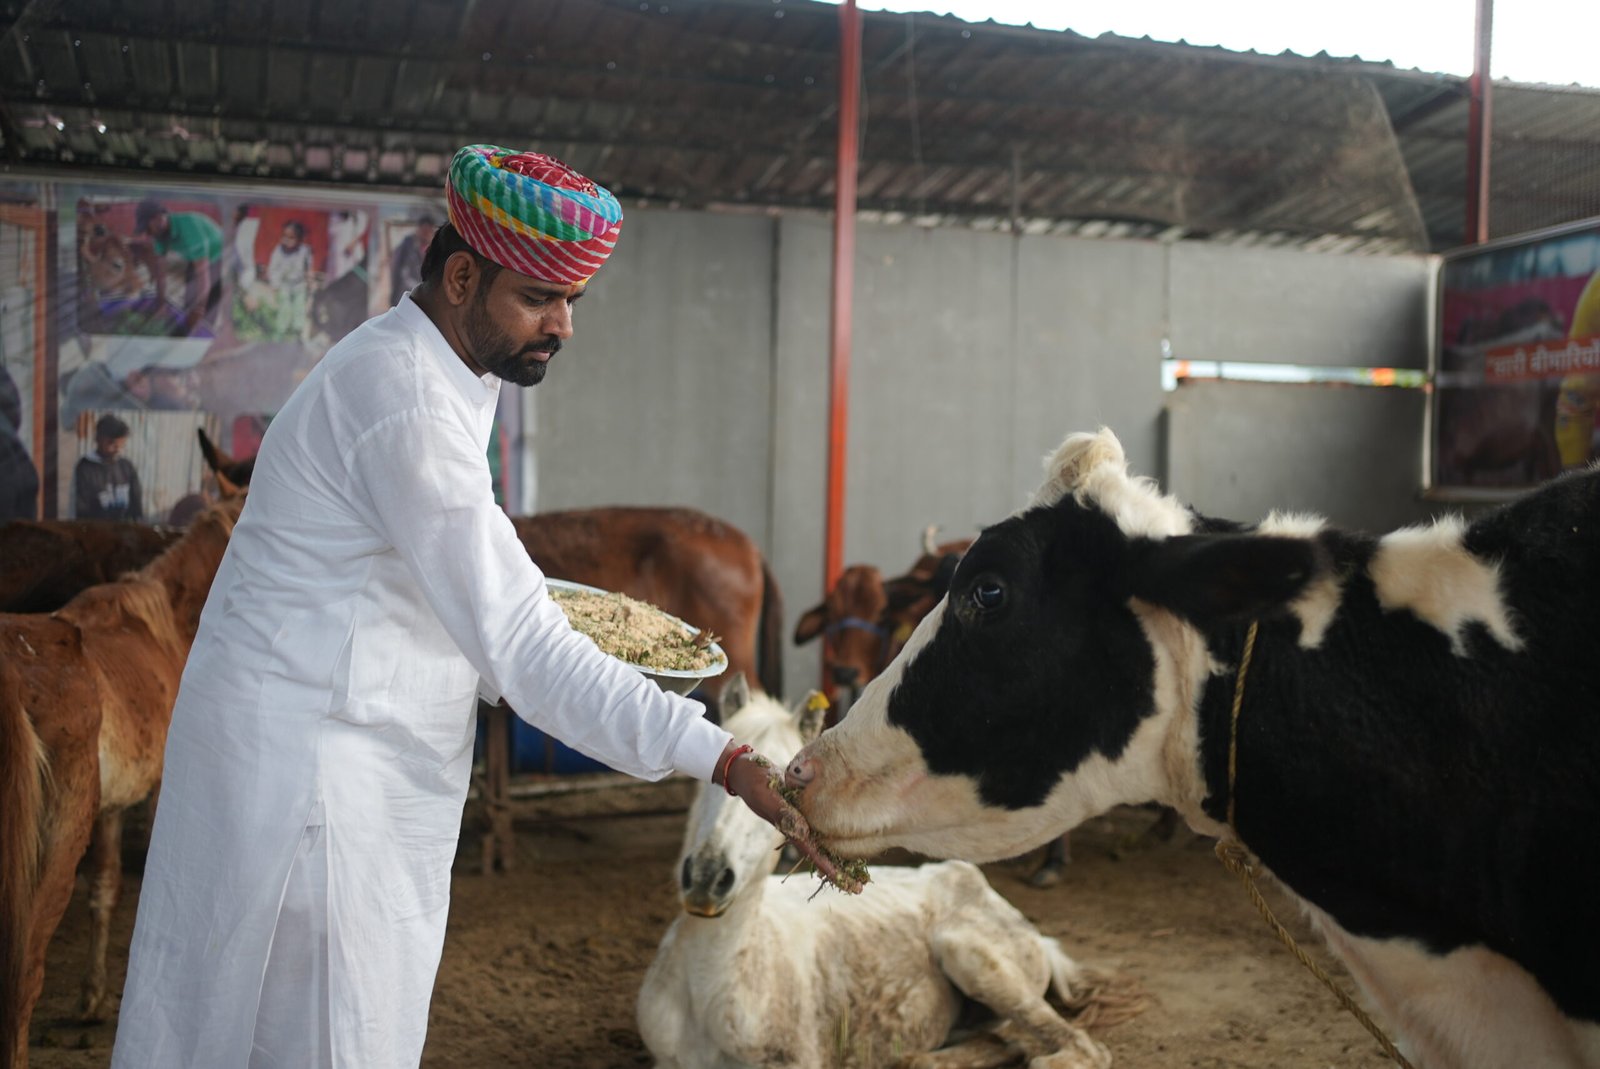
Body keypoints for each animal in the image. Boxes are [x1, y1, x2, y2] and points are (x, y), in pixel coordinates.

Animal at [638, 674, 1140, 1069]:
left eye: (782, 788)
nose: (707, 880)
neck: (710, 990)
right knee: (1005, 1040)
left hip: (973, 956)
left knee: (1073, 1049)